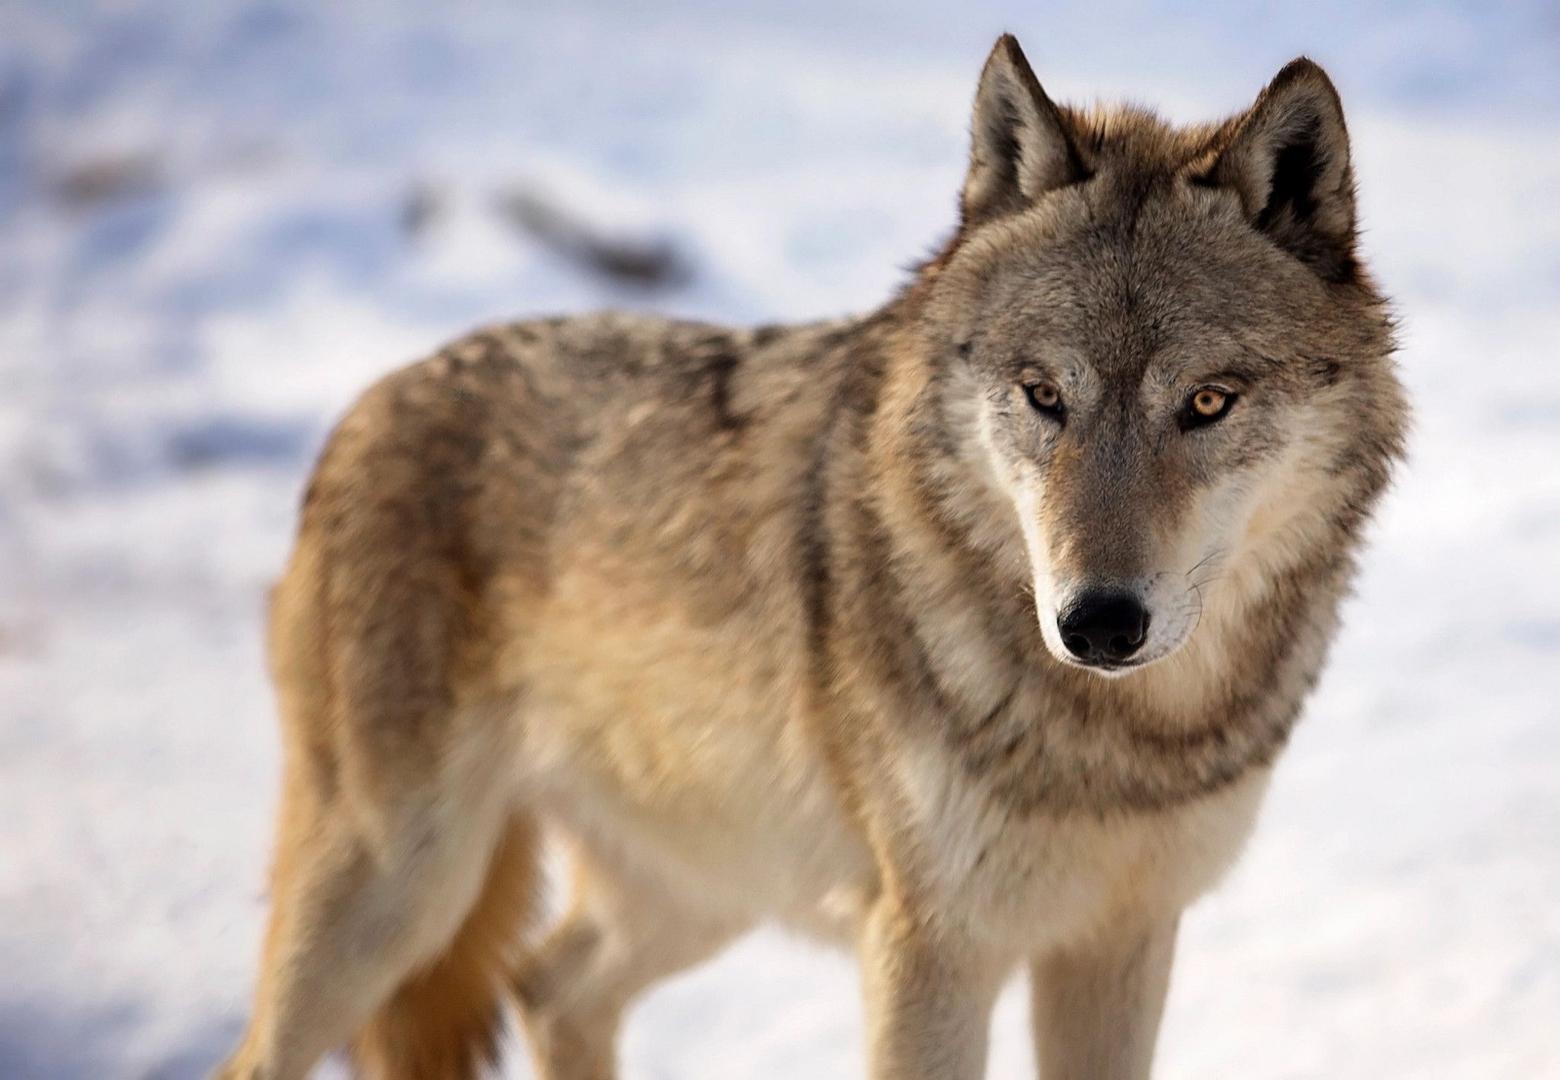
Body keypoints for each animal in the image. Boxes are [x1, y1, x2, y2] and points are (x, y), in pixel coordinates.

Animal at [216, 33, 1404, 1080]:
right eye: (1042, 395)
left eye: (1206, 403)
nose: (1098, 623)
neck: (1125, 744)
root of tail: (369, 401)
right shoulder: (928, 950)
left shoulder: (1121, 937)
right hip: (398, 892)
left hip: (700, 887)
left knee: (549, 985)